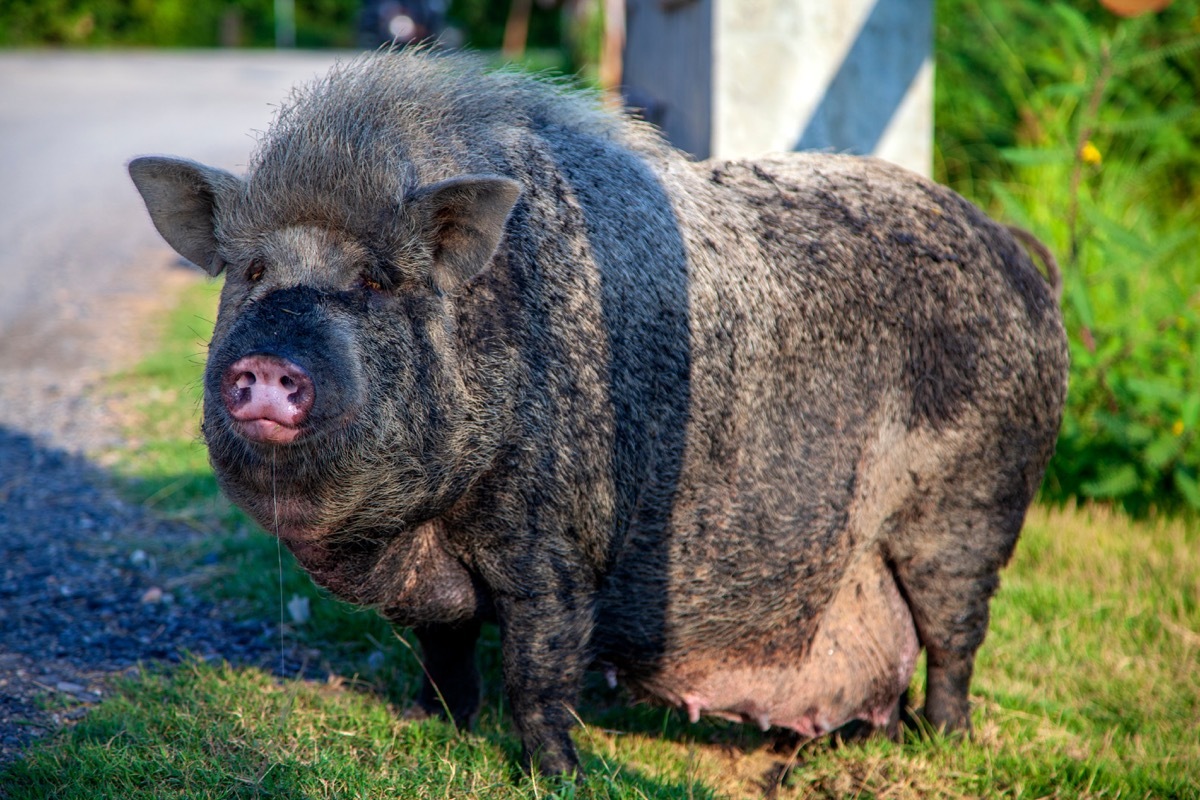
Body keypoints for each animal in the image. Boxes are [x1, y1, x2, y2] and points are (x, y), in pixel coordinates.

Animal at [128, 49, 1068, 777]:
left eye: (375, 280)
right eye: (251, 272)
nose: (266, 366)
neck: (409, 532)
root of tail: (1012, 248)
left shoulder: (556, 538)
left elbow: (538, 670)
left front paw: (561, 776)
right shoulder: (434, 588)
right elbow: (444, 655)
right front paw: (435, 730)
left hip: (976, 501)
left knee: (957, 637)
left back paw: (943, 744)